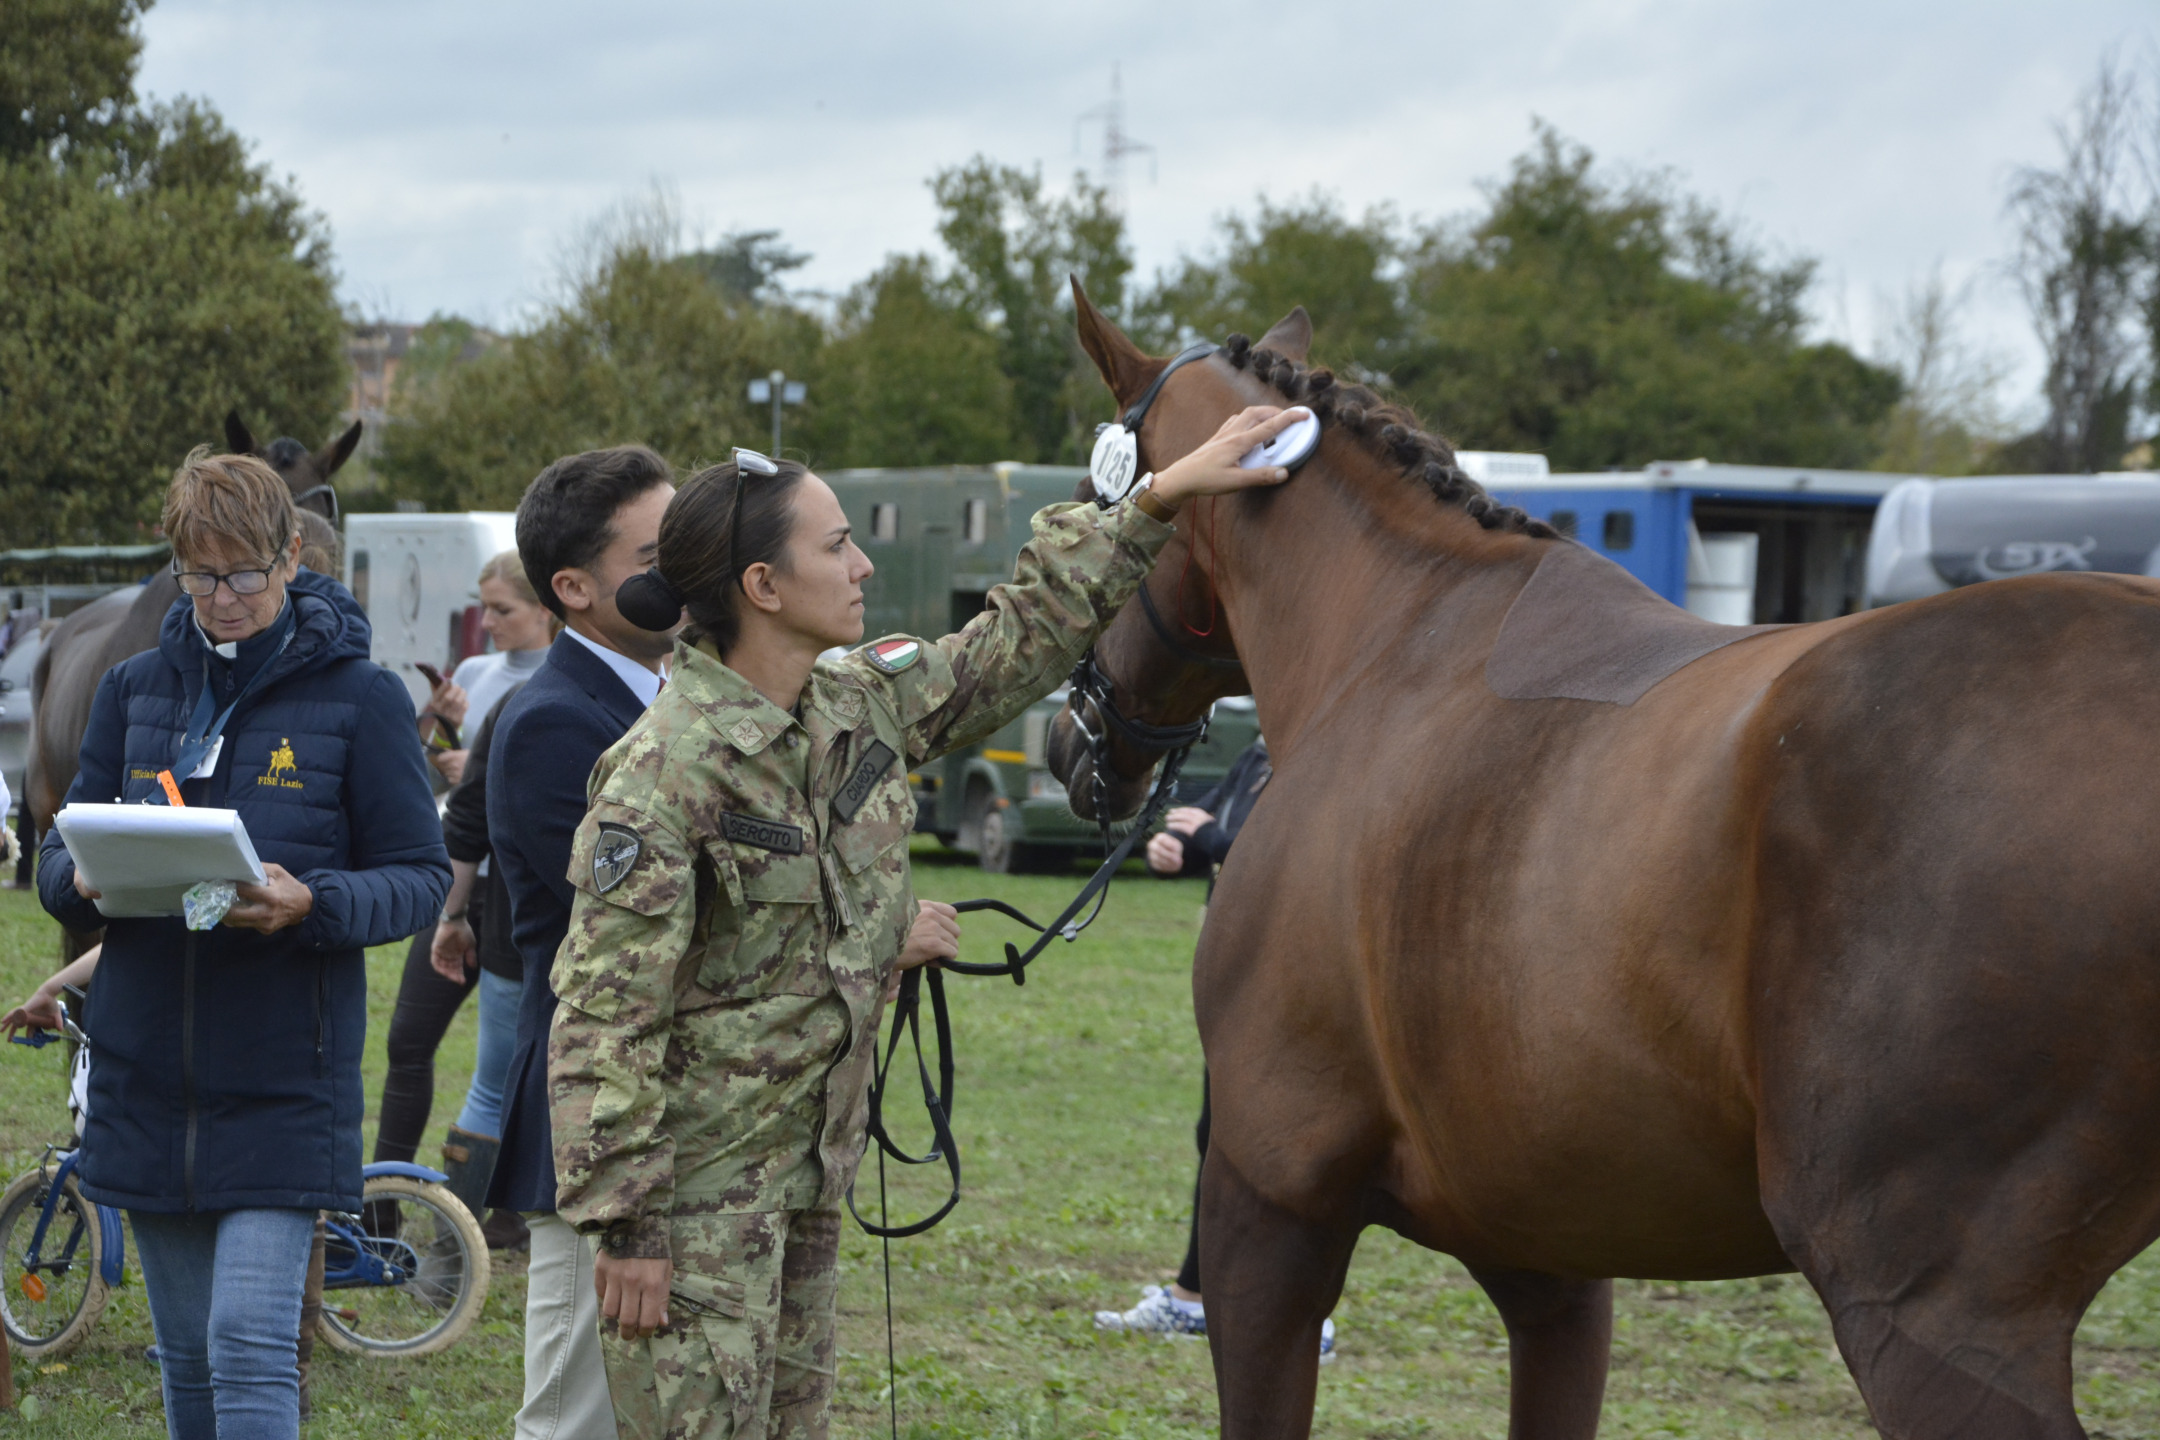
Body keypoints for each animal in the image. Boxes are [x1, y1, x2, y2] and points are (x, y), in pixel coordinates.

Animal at [1054, 284, 2160, 1440]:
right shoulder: (1548, 1259)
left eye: (1083, 499)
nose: (1065, 738)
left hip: (1934, 1318)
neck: (1397, 648)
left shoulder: (1267, 1208)